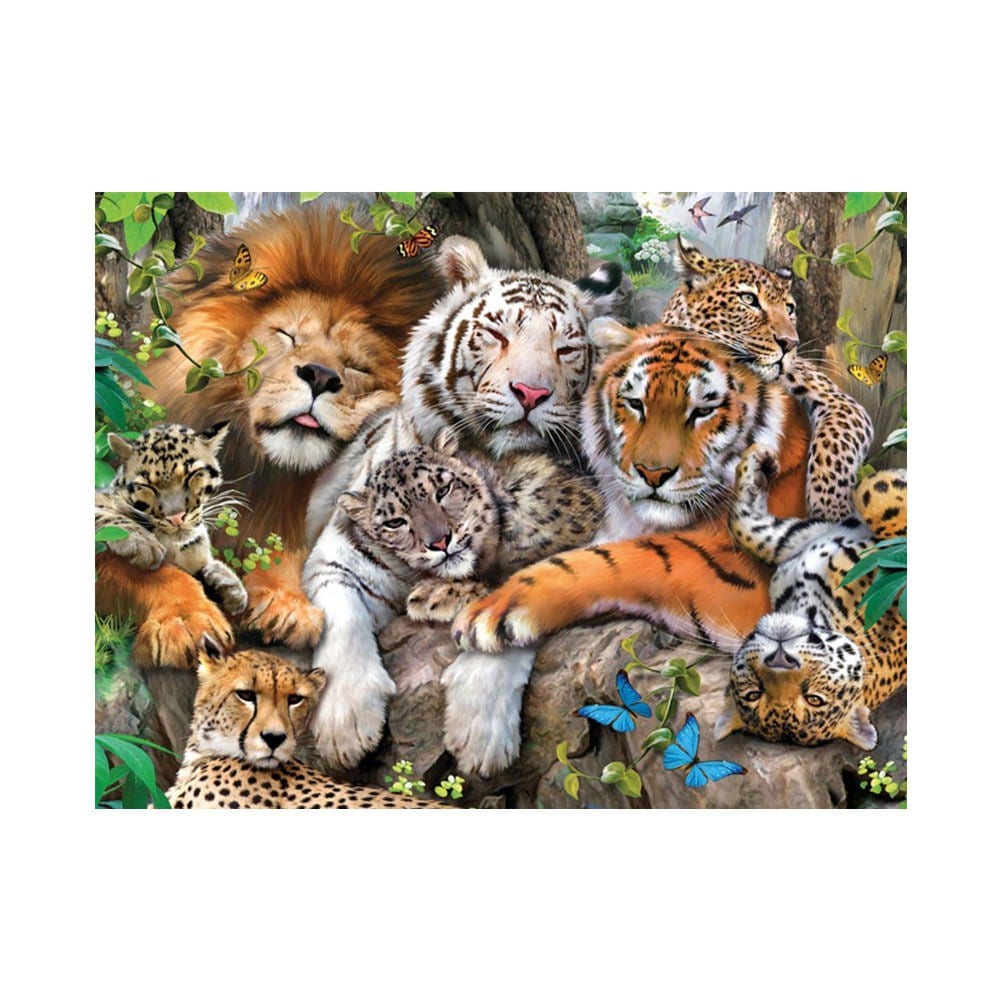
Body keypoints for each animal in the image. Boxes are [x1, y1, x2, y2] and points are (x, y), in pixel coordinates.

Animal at [302, 235, 626, 772]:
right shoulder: (338, 555)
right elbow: (340, 620)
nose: (531, 392)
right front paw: (345, 726)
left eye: (566, 349)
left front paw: (479, 732)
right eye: (496, 334)